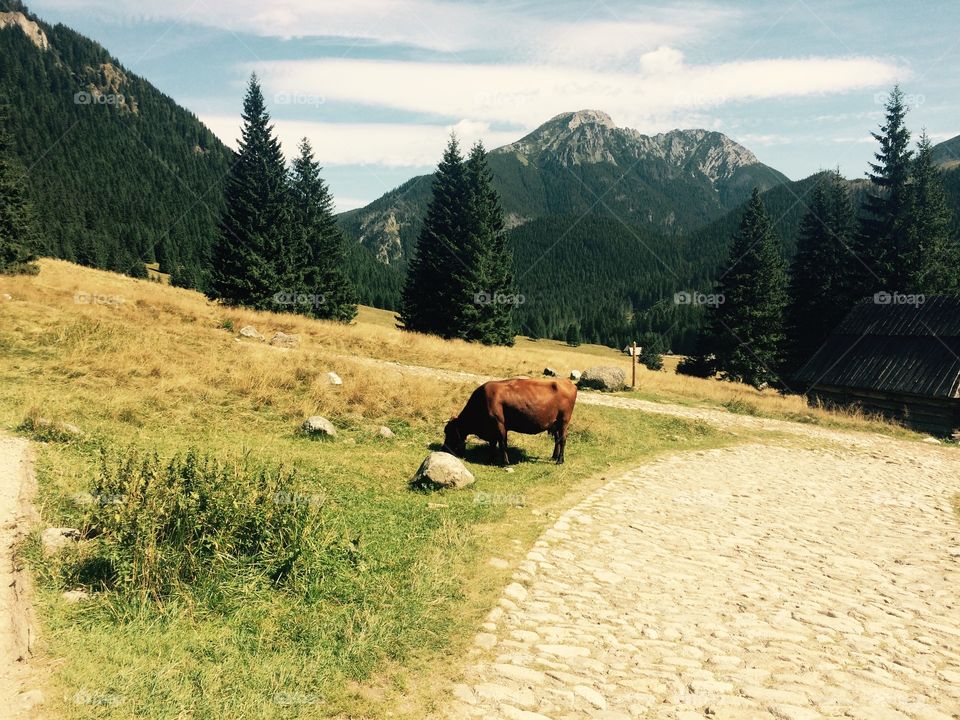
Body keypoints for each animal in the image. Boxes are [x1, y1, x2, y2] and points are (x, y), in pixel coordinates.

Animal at [443, 378, 578, 465]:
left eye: (449, 432)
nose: (444, 448)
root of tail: (568, 382)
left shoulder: (499, 424)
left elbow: (502, 443)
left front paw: (505, 462)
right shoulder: (493, 429)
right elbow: (493, 444)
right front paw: (491, 459)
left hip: (564, 421)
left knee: (563, 439)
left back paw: (560, 460)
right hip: (555, 424)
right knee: (557, 439)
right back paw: (554, 457)